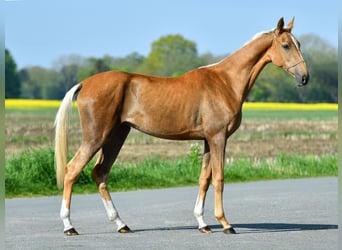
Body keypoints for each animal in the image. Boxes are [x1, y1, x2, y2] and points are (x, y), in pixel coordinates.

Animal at [54, 16, 308, 235]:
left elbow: (204, 179)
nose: (304, 78)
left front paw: (203, 223)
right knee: (72, 170)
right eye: (286, 45)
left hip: (116, 136)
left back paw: (121, 224)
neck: (225, 82)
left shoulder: (207, 140)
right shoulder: (218, 138)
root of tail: (85, 83)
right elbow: (219, 178)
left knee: (100, 173)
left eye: (298, 43)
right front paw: (225, 223)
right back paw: (69, 226)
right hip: (96, 137)